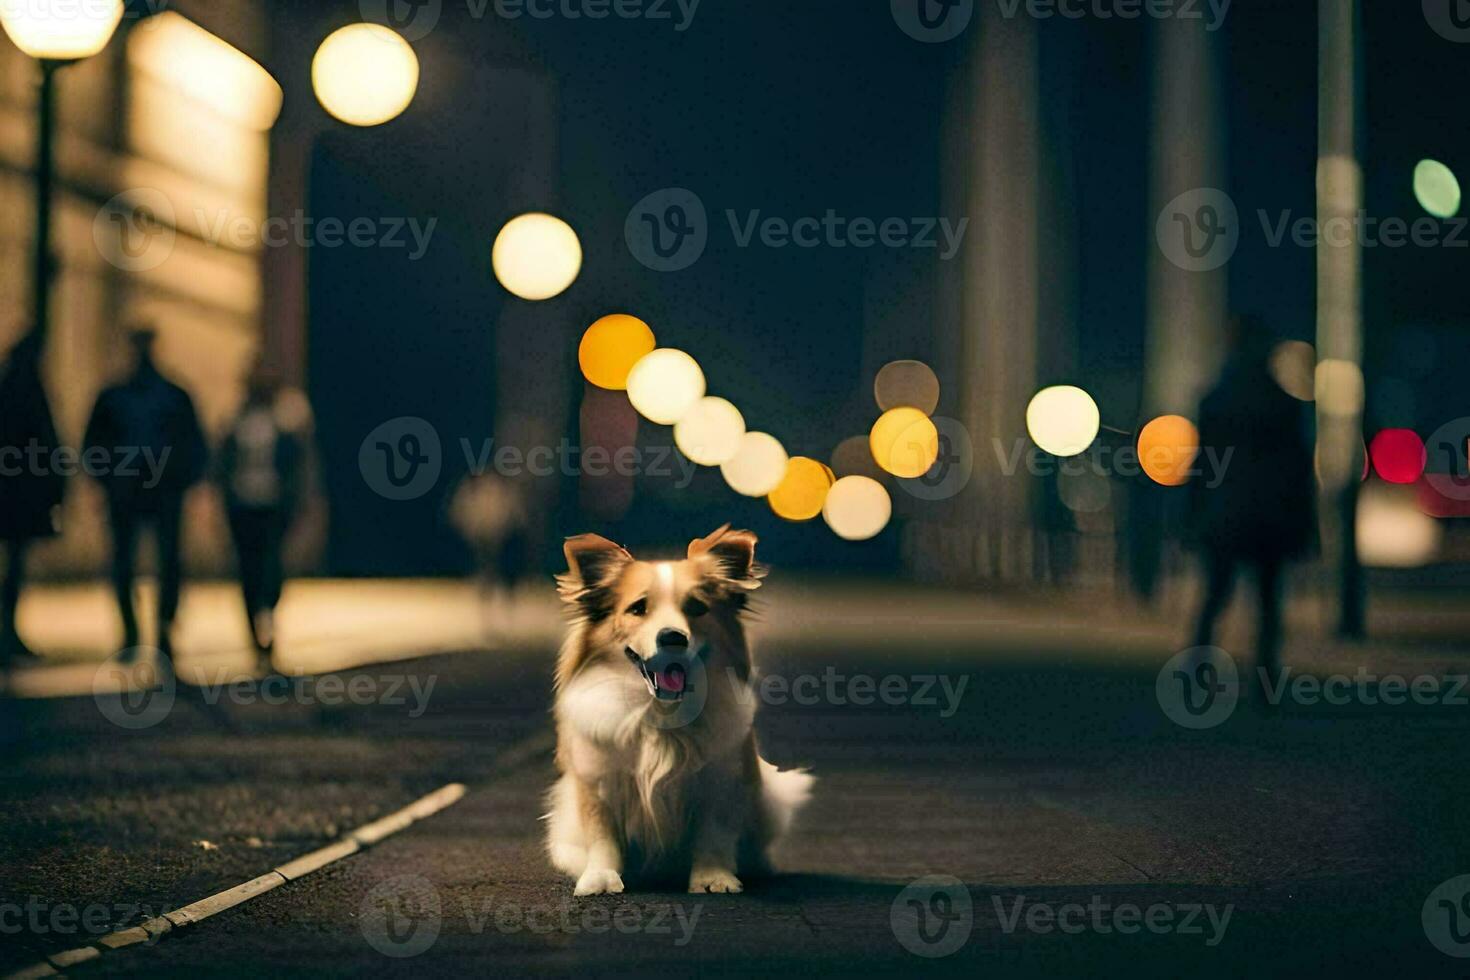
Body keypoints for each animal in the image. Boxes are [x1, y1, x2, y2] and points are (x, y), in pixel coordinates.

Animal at [546, 528, 817, 899]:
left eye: (696, 608)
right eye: (638, 608)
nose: (672, 637)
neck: (661, 711)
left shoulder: (721, 782)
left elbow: (713, 835)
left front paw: (713, 878)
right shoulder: (597, 783)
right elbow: (602, 835)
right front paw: (600, 877)